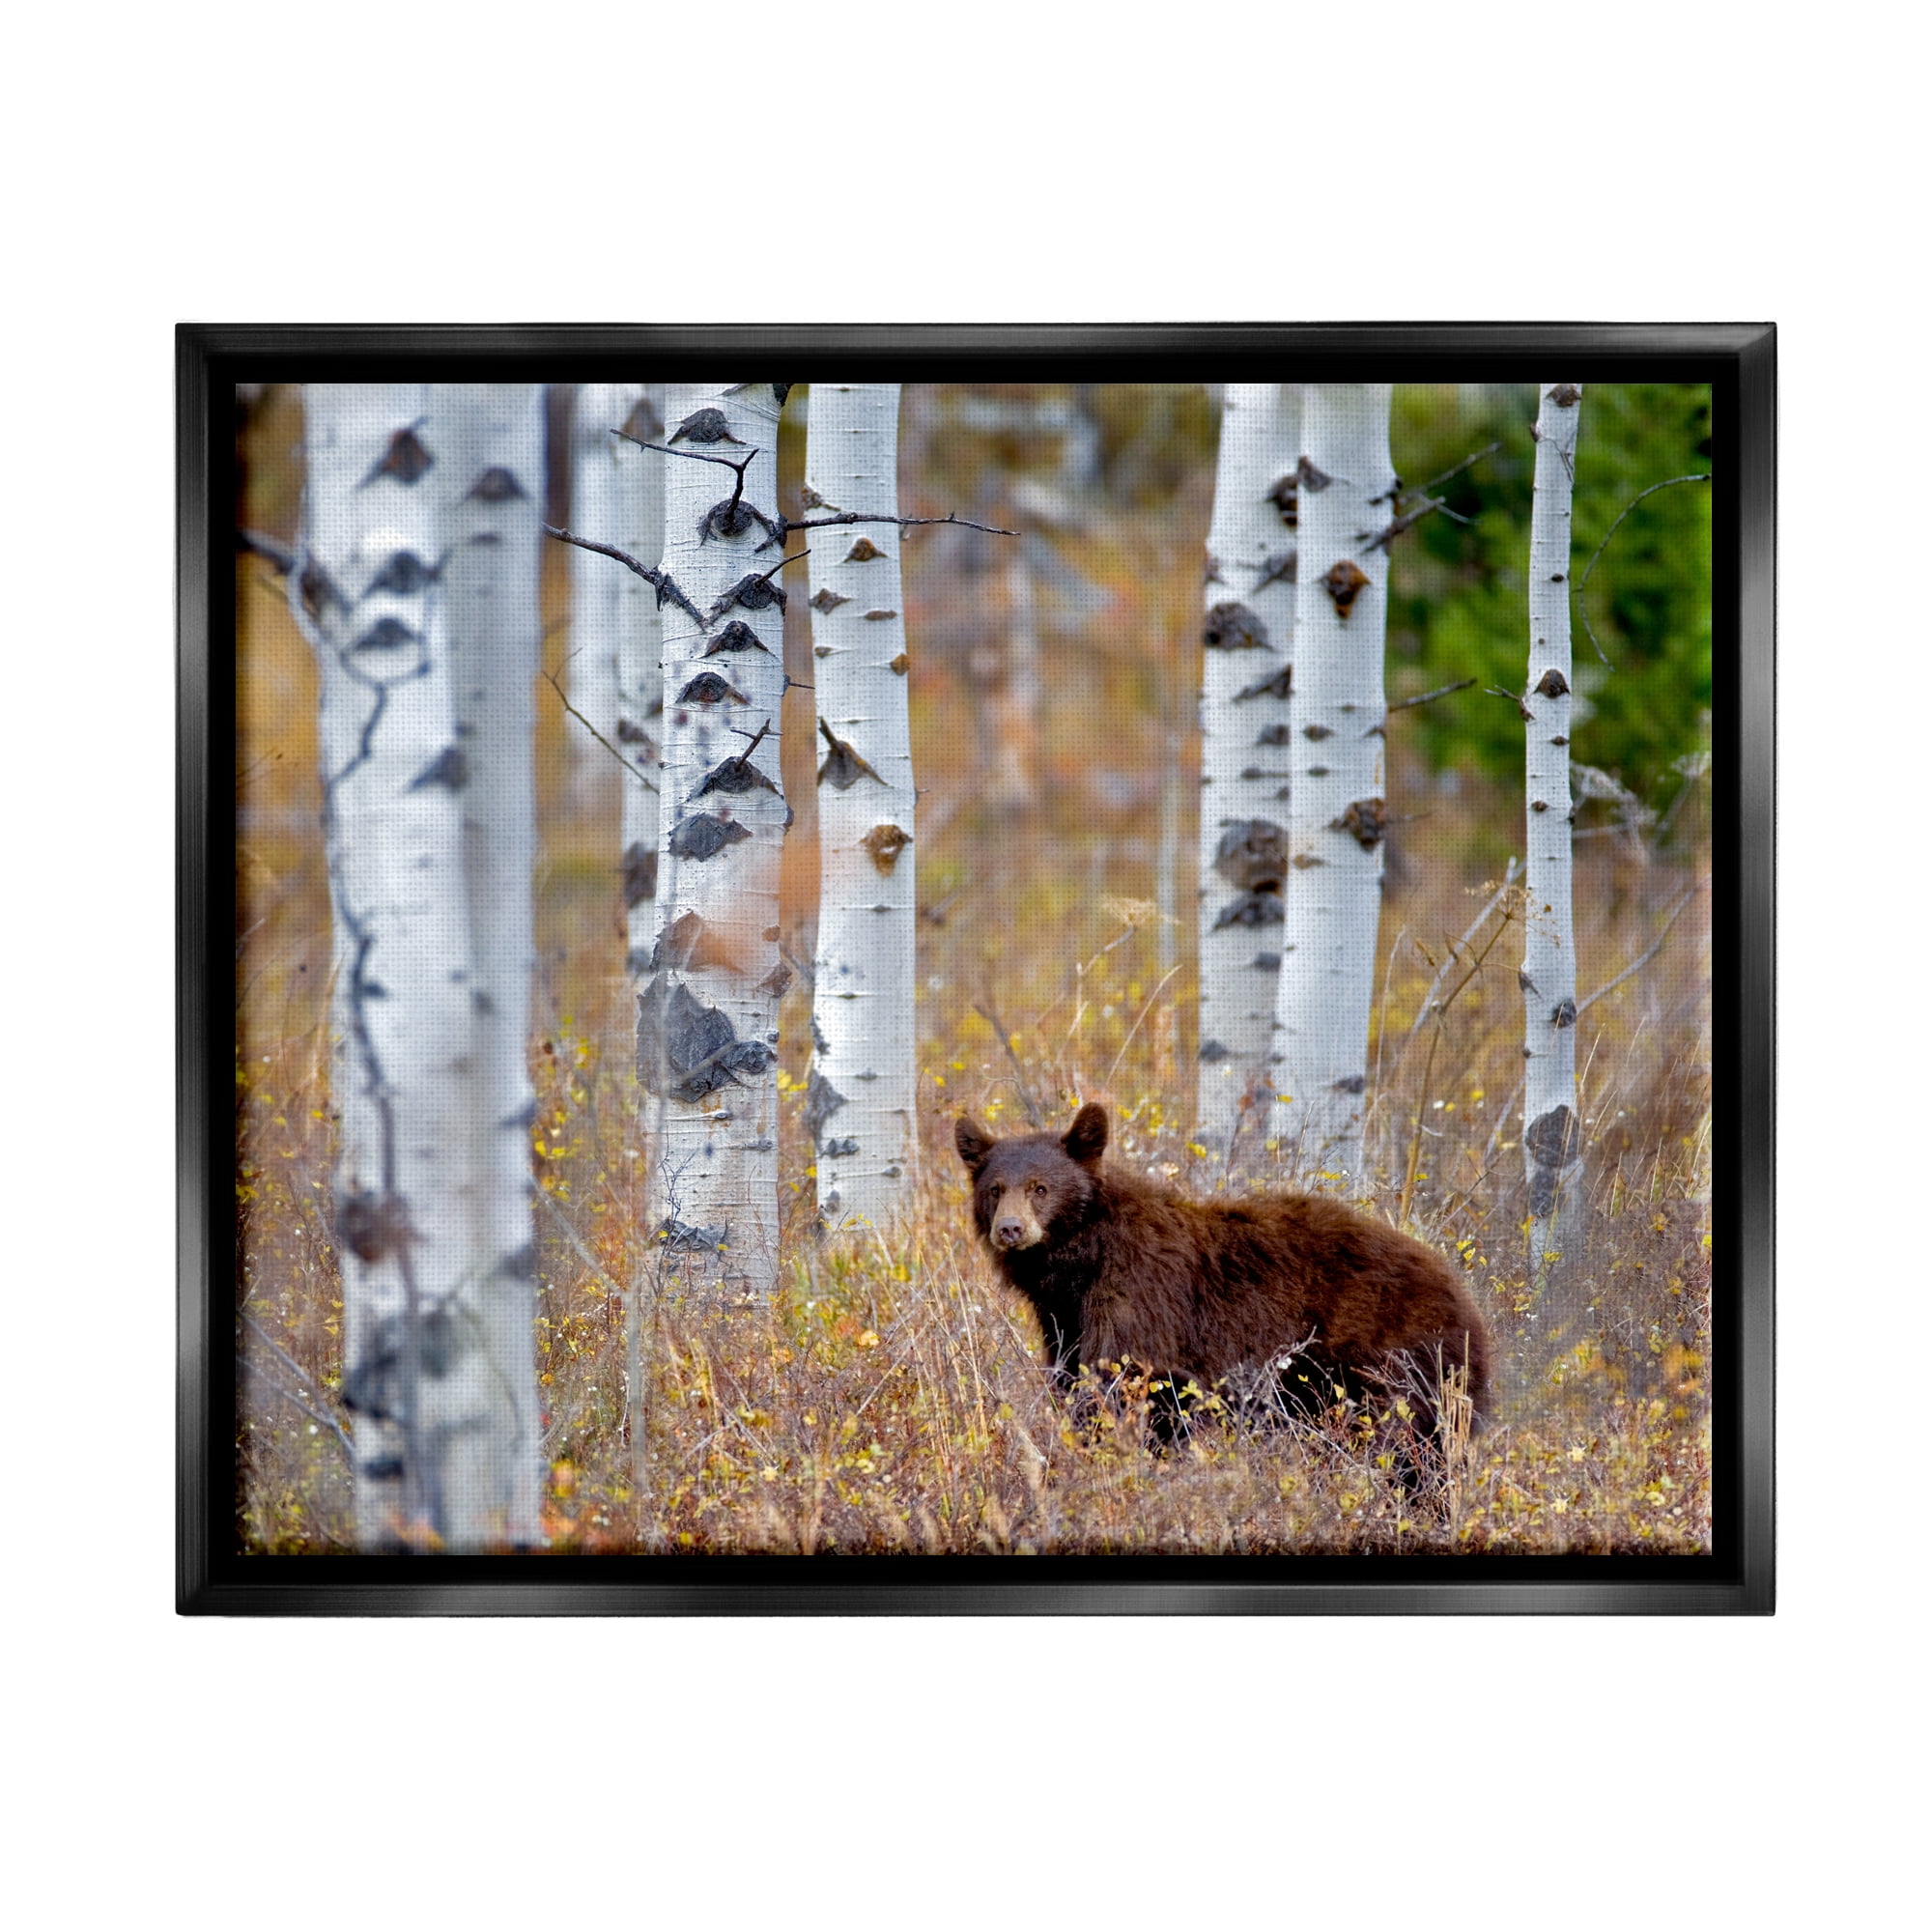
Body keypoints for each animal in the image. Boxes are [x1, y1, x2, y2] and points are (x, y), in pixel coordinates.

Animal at [954, 1102, 1490, 1481]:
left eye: (1040, 1188)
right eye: (995, 1189)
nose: (1010, 1229)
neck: (1082, 1261)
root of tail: (1460, 1295)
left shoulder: (1142, 1299)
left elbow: (1121, 1383)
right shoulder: (1063, 1320)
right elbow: (1077, 1380)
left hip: (1390, 1362)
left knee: (1401, 1443)